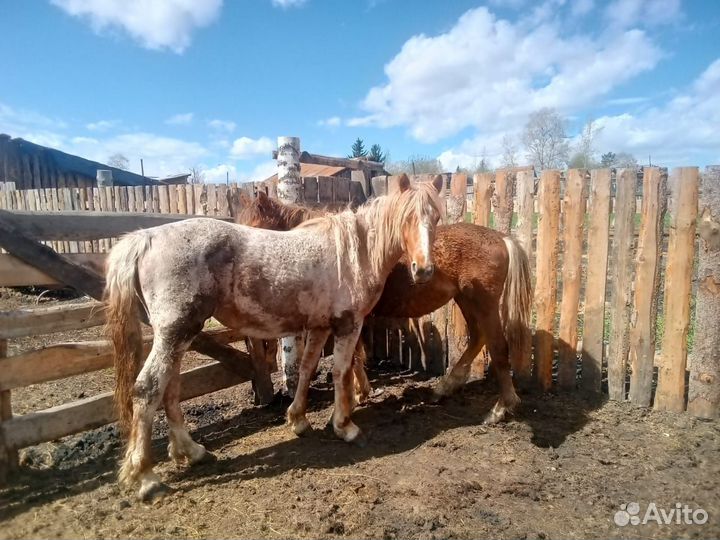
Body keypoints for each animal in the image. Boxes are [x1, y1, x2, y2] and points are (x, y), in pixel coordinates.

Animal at [105, 174, 444, 500]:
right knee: (148, 389)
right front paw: (344, 426)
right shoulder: (348, 325)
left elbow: (306, 368)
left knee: (171, 389)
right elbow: (340, 371)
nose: (423, 270)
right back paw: (146, 477)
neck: (355, 253)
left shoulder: (319, 327)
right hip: (174, 334)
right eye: (407, 217)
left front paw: (298, 420)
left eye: (436, 217)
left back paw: (193, 452)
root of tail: (146, 239)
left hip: (180, 335)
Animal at [234, 189, 533, 424]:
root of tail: (501, 238)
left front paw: (353, 398)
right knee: (477, 337)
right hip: (466, 301)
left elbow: (352, 357)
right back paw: (446, 387)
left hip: (484, 303)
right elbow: (355, 356)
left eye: (254, 229)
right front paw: (358, 393)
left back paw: (500, 408)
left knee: (497, 347)